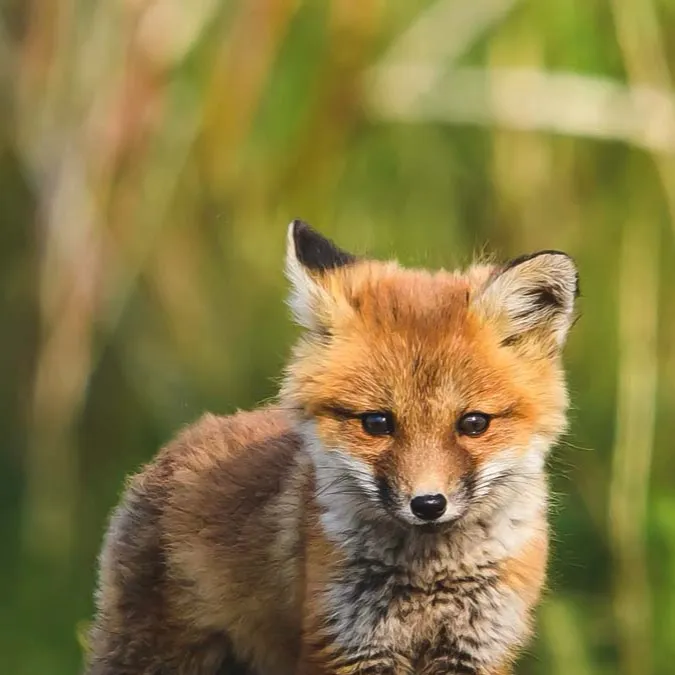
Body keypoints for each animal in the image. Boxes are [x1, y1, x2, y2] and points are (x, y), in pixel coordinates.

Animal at [86, 220, 579, 675]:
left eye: (473, 424)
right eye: (377, 423)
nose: (428, 504)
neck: (428, 579)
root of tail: (184, 438)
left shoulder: (474, 650)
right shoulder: (347, 645)